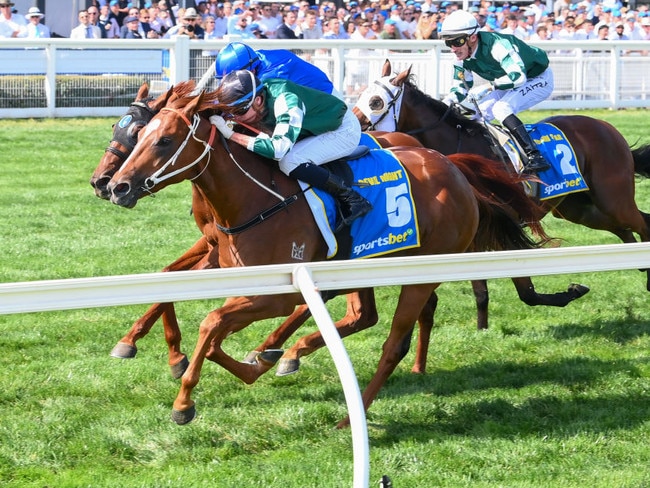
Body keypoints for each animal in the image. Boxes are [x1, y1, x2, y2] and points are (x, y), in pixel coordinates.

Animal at [104, 91, 544, 428]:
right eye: (135, 133)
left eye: (163, 140)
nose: (114, 186)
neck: (255, 200)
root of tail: (453, 166)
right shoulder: (235, 273)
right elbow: (205, 323)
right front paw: (250, 363)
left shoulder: (276, 294)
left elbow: (211, 322)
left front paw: (183, 401)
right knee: (364, 316)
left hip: (423, 271)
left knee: (393, 343)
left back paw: (351, 415)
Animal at [354, 61, 648, 292]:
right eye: (361, 95)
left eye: (375, 102)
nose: (353, 127)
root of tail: (607, 127)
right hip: (580, 209)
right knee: (629, 227)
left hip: (613, 200)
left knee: (641, 223)